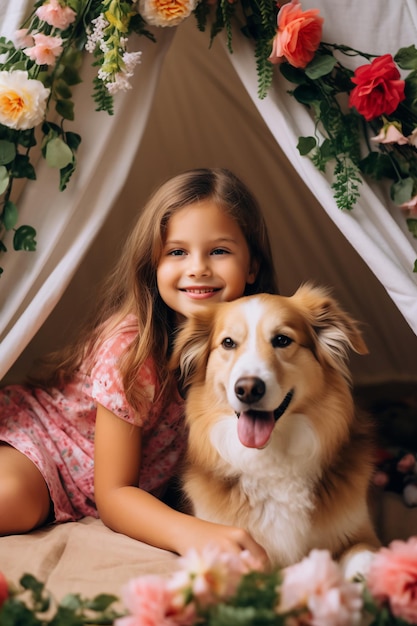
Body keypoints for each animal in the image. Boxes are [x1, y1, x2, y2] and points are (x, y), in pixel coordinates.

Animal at [170, 282, 380, 576]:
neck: (272, 459)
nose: (248, 389)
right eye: (228, 343)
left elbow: (363, 559)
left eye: (282, 340)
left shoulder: (362, 534)